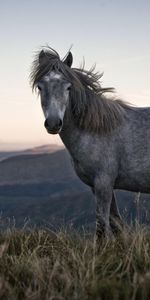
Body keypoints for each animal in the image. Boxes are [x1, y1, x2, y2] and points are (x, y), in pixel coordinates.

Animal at [30, 47, 150, 239]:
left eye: (68, 87)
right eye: (40, 87)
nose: (54, 123)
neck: (97, 129)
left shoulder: (103, 183)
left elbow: (101, 227)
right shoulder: (99, 186)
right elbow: (116, 224)